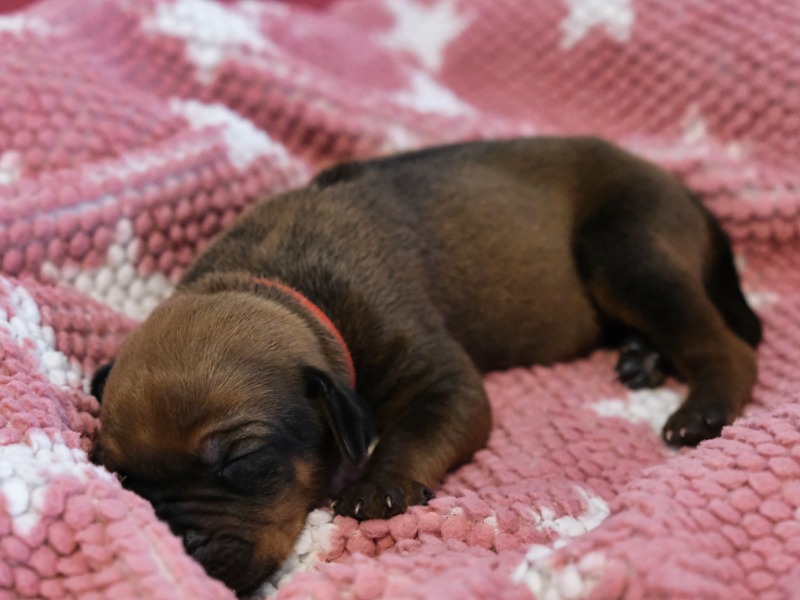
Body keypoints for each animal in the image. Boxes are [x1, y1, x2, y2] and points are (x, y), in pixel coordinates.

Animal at [90, 137, 760, 596]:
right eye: (120, 476)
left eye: (242, 460)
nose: (174, 543)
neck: (274, 282)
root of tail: (684, 189)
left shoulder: (443, 380)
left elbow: (413, 429)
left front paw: (378, 483)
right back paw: (643, 357)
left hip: (624, 247)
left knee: (728, 344)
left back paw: (704, 409)